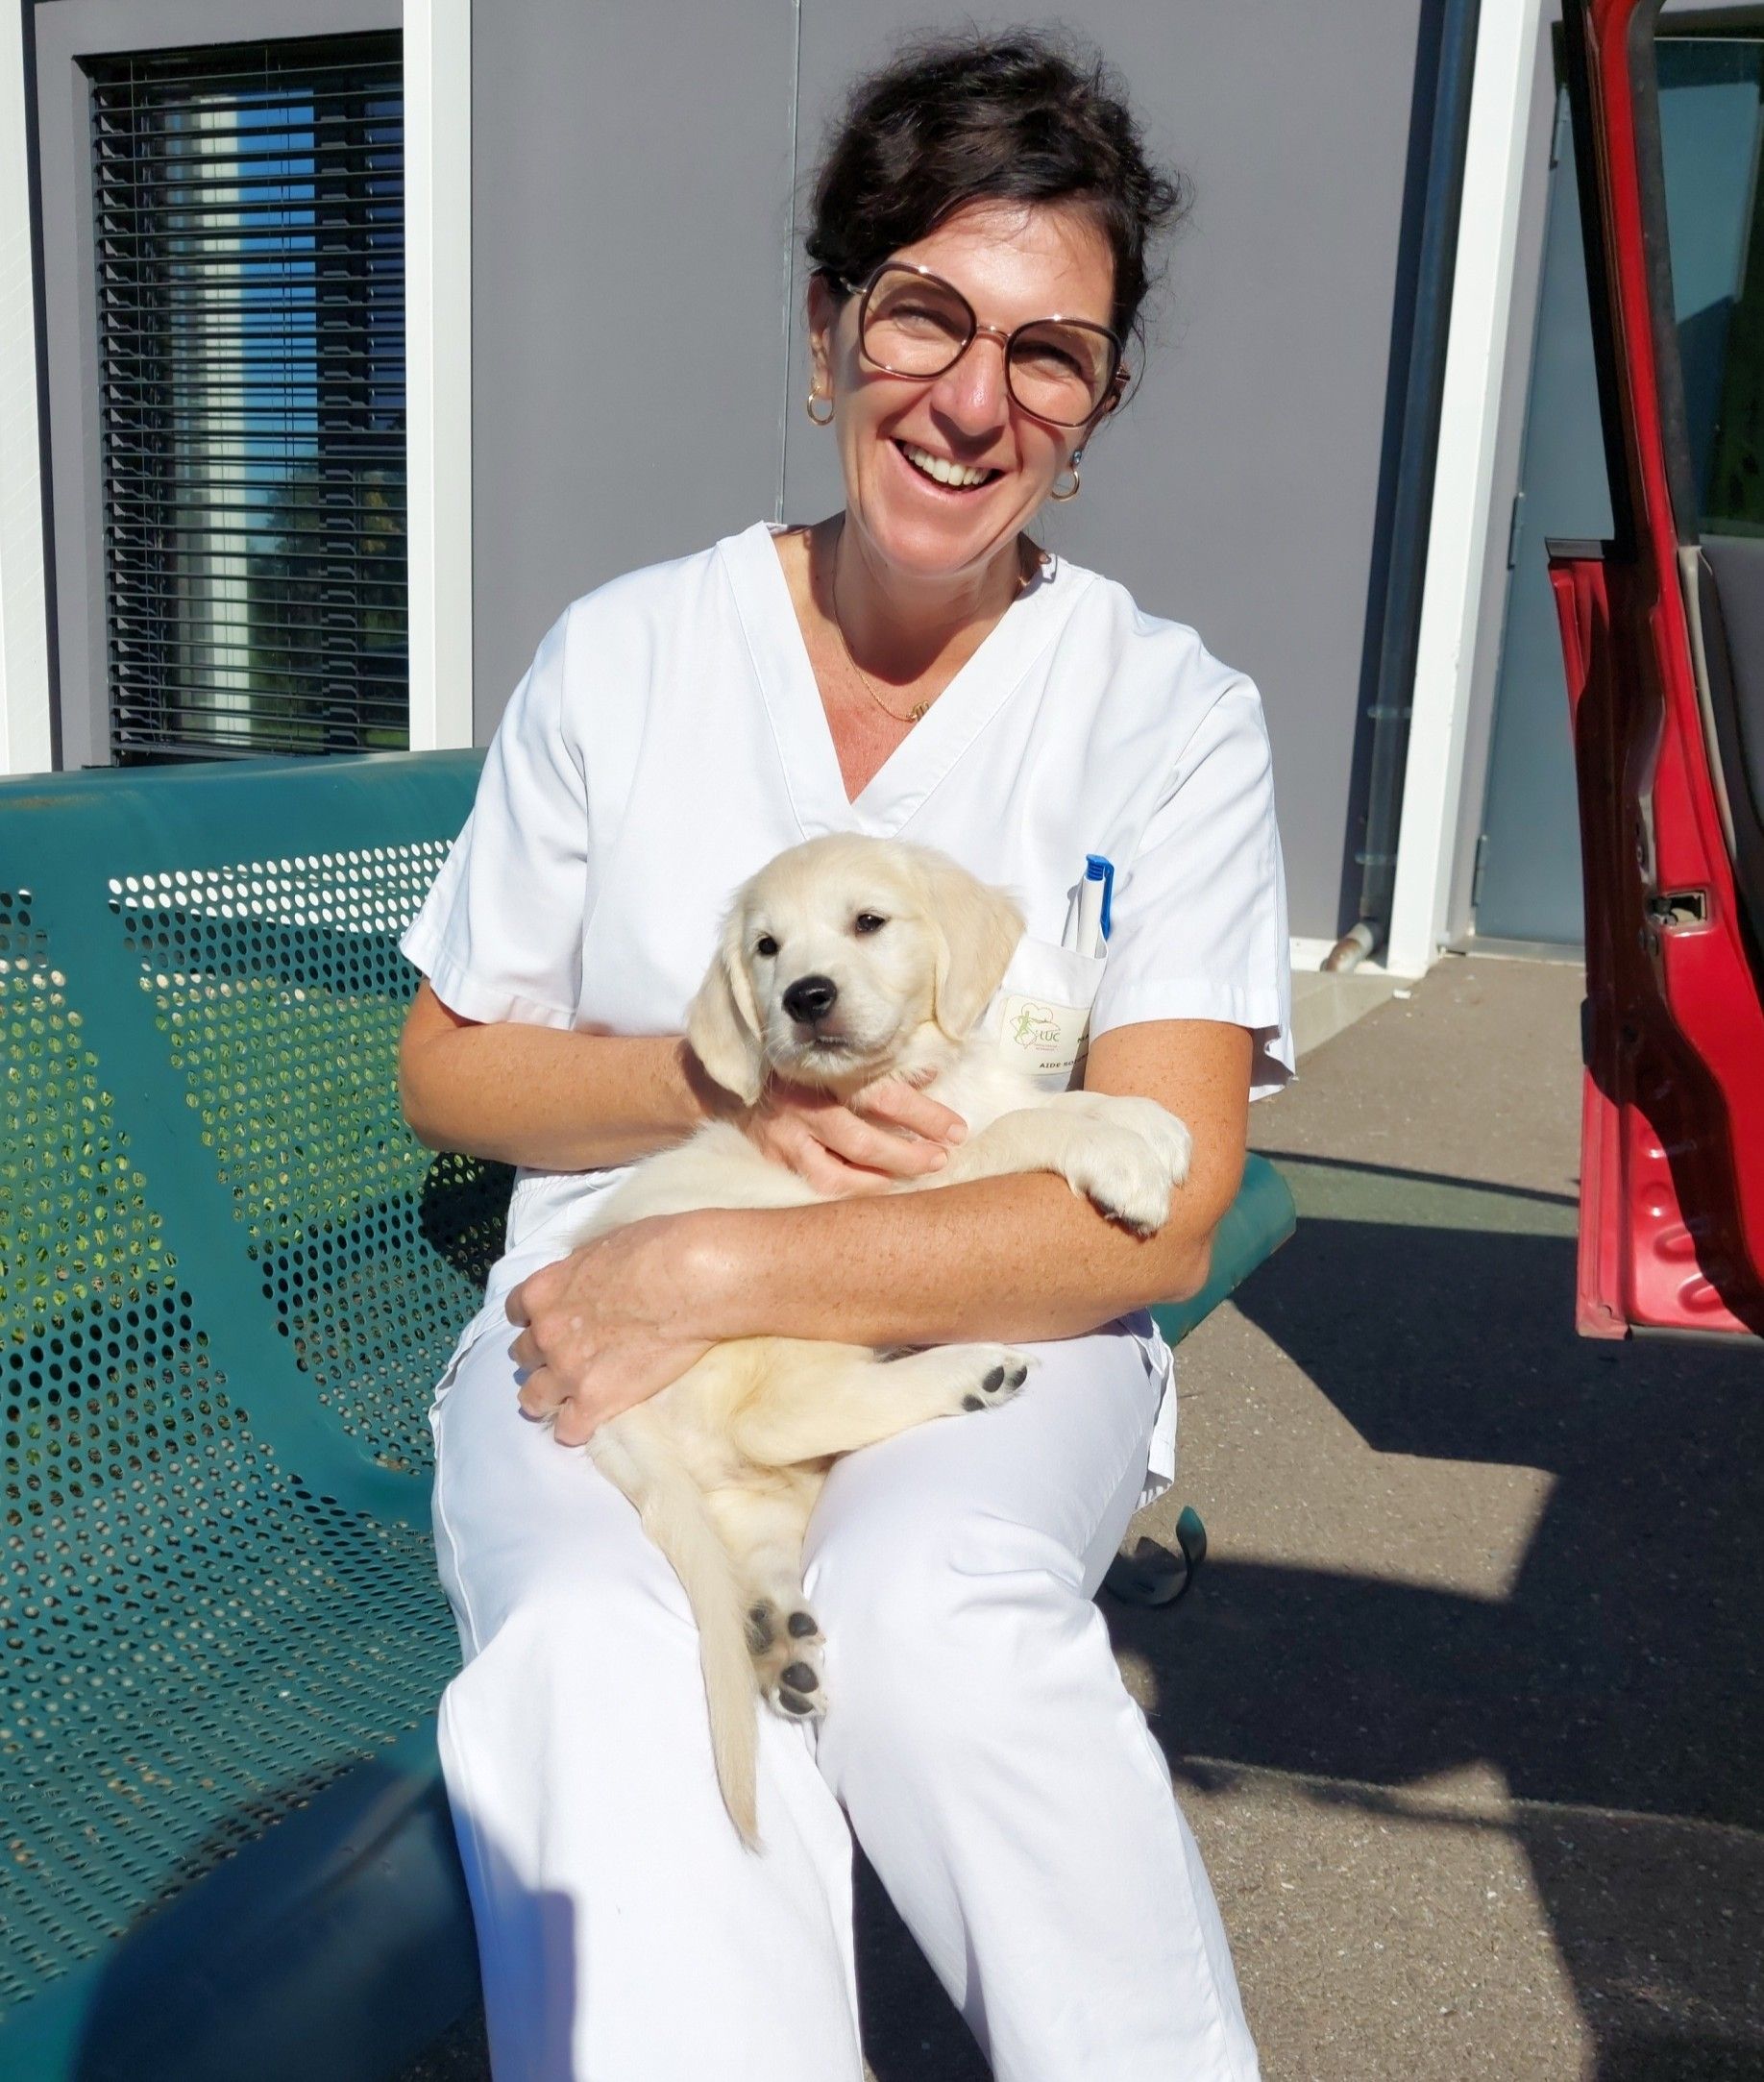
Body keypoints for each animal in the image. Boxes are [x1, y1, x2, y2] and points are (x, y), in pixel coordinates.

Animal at [566, 834, 1192, 1848]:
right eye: (767, 947)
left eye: (869, 921)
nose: (805, 996)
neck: (904, 1079)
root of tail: (620, 1428)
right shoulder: (913, 1190)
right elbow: (1024, 1125)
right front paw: (1122, 1155)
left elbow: (1044, 1104)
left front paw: (1148, 1119)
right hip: (771, 1295)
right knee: (781, 1413)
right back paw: (970, 1371)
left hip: (759, 1491)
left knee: (755, 1517)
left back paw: (775, 1637)